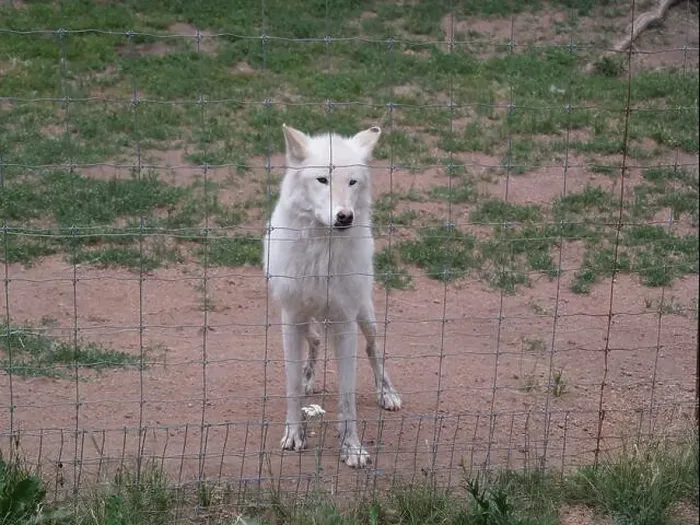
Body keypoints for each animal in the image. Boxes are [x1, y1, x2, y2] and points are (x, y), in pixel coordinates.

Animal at [262, 124, 402, 468]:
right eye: (322, 180)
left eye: (352, 181)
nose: (344, 216)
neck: (321, 256)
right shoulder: (290, 318)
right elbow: (292, 385)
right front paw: (294, 434)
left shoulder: (344, 323)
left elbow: (347, 397)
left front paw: (351, 448)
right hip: (308, 320)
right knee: (313, 341)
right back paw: (309, 378)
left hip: (366, 317)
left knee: (374, 350)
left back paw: (387, 393)